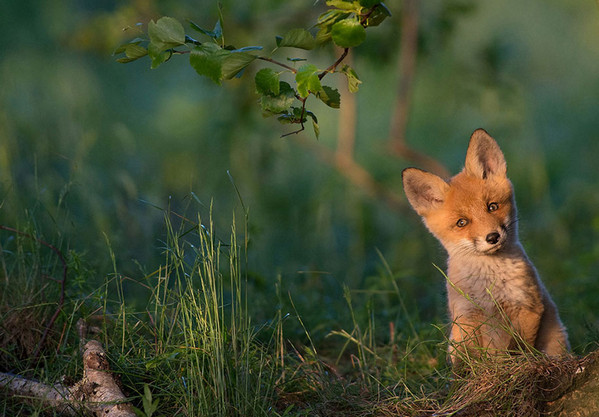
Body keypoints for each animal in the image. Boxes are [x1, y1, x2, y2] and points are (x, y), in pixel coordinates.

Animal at [404, 128, 572, 362]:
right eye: (462, 223)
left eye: (492, 207)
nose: (492, 237)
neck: (488, 286)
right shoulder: (465, 315)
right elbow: (471, 358)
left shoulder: (528, 307)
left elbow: (518, 348)